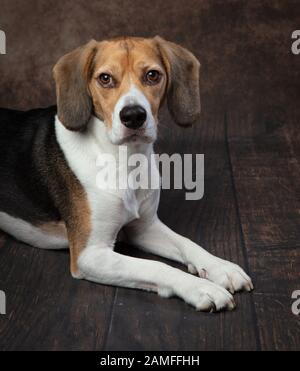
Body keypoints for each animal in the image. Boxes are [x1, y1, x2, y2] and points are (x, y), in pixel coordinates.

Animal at [0, 36, 253, 312]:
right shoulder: (90, 255)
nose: (133, 115)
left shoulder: (145, 228)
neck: (125, 160)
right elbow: (156, 266)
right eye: (105, 78)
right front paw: (200, 287)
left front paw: (220, 267)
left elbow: (187, 243)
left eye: (152, 75)